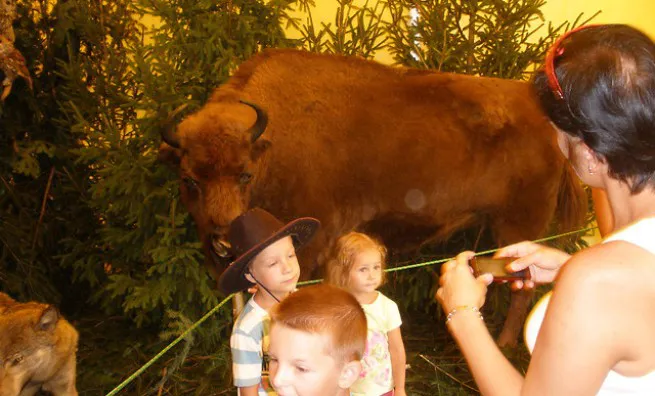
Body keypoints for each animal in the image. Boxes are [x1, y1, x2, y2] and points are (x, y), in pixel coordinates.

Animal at [160, 48, 588, 346]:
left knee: (523, 288)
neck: (273, 144)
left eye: (245, 174)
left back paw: (505, 341)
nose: (222, 242)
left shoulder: (309, 243)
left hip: (521, 224)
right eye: (189, 179)